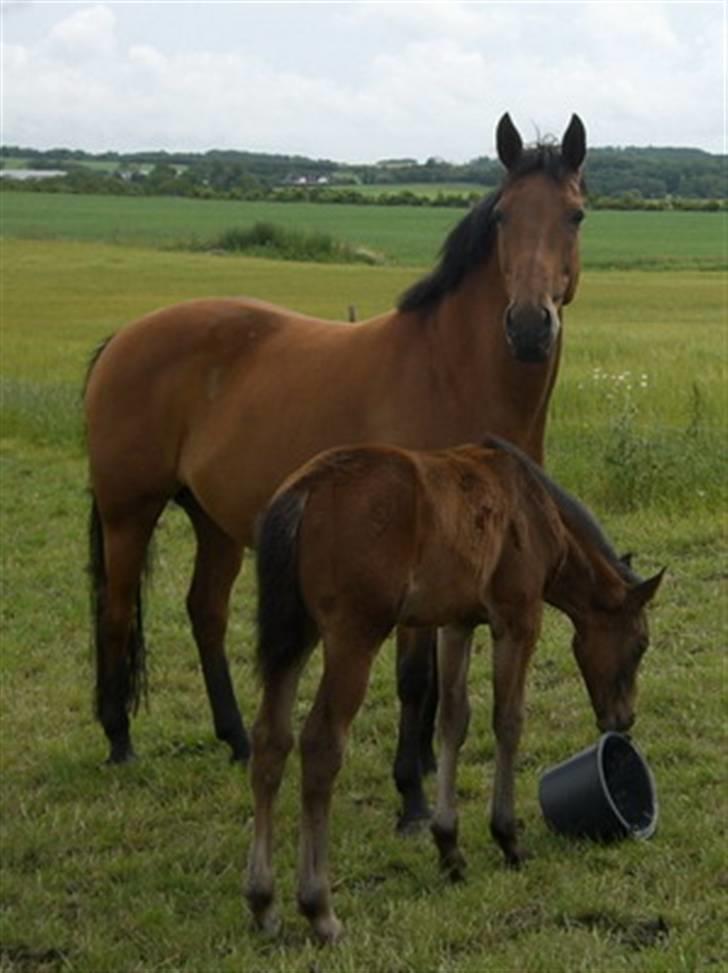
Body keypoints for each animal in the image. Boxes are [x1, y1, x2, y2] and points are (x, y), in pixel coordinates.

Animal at [84, 112, 584, 828]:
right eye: (501, 217)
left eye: (575, 214)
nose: (528, 327)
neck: (452, 373)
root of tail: (123, 337)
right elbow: (414, 679)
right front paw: (410, 797)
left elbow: (439, 680)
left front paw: (423, 768)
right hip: (129, 513)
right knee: (117, 611)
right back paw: (120, 740)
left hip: (214, 521)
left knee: (205, 612)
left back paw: (236, 739)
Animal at [246, 440, 664, 940]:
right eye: (640, 644)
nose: (623, 719)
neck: (535, 507)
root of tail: (304, 491)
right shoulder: (518, 620)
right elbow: (508, 720)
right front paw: (508, 838)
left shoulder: (456, 623)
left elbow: (452, 720)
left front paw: (449, 847)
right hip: (353, 637)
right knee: (320, 745)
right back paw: (319, 908)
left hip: (295, 638)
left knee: (270, 742)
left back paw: (263, 903)